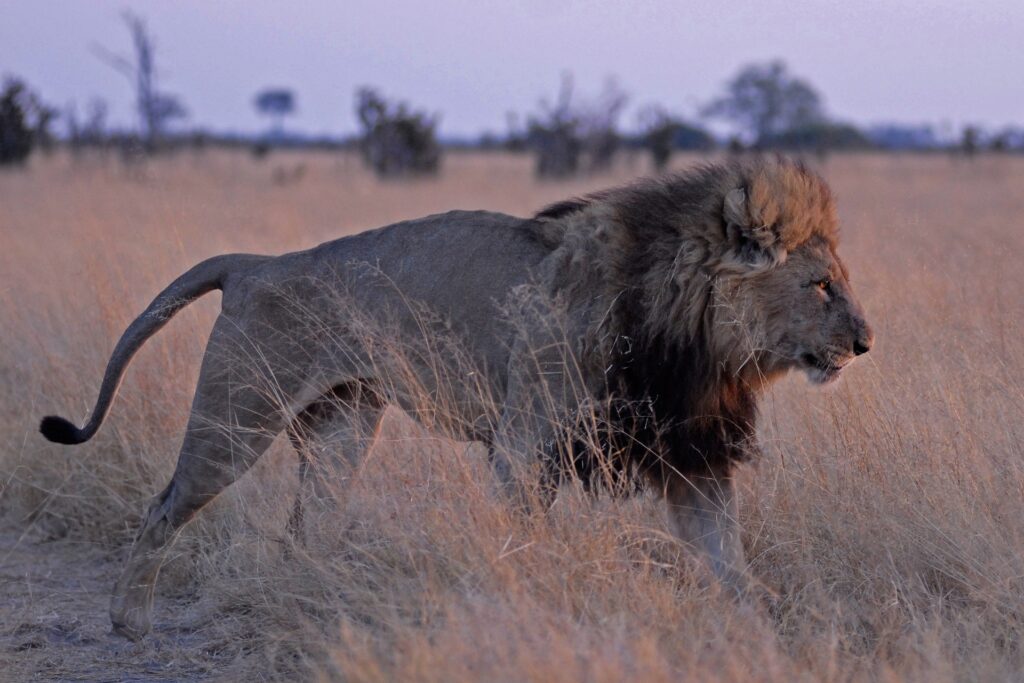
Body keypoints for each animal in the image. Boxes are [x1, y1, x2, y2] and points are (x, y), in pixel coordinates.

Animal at [40, 158, 872, 640]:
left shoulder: (688, 452)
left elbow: (727, 558)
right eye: (821, 285)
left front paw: (767, 631)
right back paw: (129, 621)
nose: (867, 342)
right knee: (163, 506)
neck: (692, 335)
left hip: (343, 424)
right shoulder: (528, 440)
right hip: (239, 416)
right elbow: (522, 540)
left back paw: (313, 601)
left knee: (305, 529)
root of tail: (255, 262)